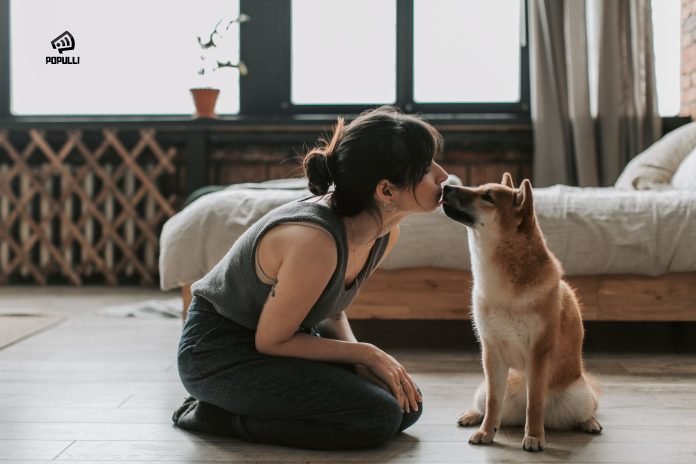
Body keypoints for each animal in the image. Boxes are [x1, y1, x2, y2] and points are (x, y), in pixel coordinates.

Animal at [441, 173, 602, 452]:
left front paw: (535, 437)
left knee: (585, 409)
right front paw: (486, 432)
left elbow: (534, 403)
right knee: (486, 406)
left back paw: (589, 422)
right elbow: (494, 403)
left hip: (578, 395)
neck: (503, 287)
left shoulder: (538, 353)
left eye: (487, 196)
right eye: (478, 188)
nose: (445, 187)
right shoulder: (491, 351)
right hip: (485, 388)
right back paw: (472, 415)